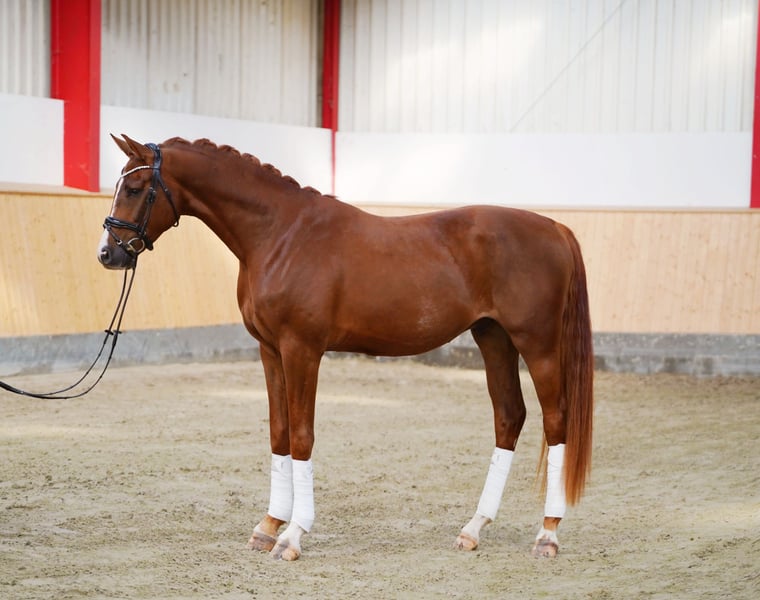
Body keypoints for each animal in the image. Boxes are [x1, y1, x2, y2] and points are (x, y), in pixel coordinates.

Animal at [98, 135, 593, 561]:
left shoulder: (302, 349)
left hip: (537, 344)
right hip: (493, 338)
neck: (281, 234)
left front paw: (293, 535)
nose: (108, 254)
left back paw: (547, 533)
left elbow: (302, 436)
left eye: (137, 188)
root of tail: (555, 227)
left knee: (556, 421)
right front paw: (268, 526)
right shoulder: (270, 350)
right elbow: (279, 433)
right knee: (509, 416)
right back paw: (473, 528)